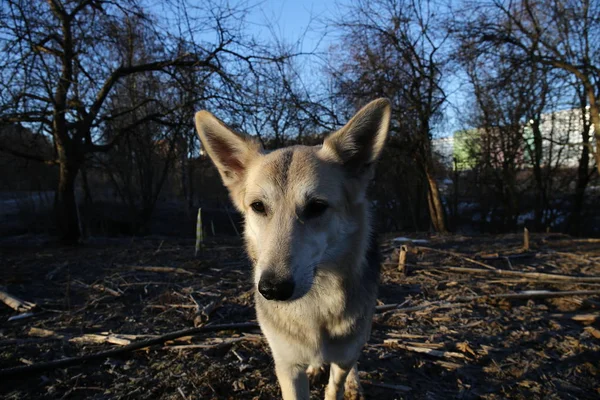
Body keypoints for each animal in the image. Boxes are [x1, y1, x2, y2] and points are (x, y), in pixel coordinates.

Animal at [195, 97, 392, 400]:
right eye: (258, 207)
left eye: (316, 207)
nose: (273, 289)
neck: (315, 303)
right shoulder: (286, 365)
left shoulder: (343, 356)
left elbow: (335, 386)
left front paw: (346, 384)